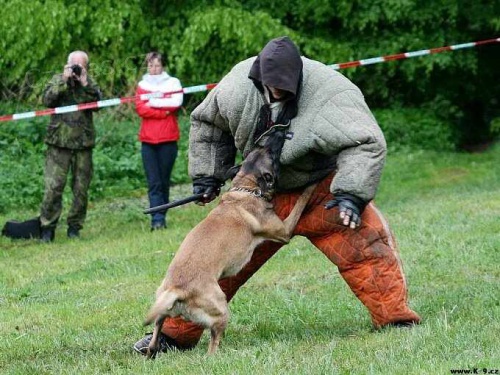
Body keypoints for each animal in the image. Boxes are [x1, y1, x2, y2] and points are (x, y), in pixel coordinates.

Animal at [145, 131, 316, 358]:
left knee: (157, 328)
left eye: (260, 148)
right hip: (220, 308)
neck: (246, 188)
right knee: (212, 347)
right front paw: (314, 184)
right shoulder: (284, 231)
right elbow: (302, 200)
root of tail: (177, 290)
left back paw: (152, 349)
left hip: (161, 306)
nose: (278, 133)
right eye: (271, 155)